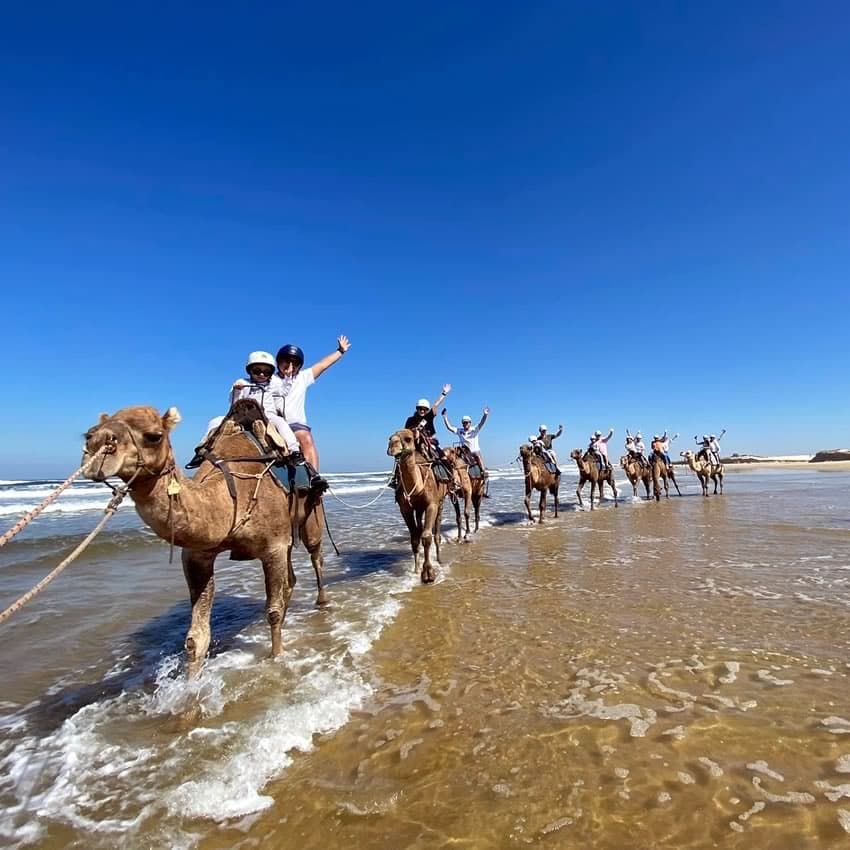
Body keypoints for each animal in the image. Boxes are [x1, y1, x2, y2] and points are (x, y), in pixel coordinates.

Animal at [82, 402, 326, 677]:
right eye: (90, 432)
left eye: (154, 436)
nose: (97, 443)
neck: (231, 493)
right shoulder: (197, 555)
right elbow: (194, 639)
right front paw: (191, 681)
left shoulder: (272, 547)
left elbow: (272, 612)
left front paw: (276, 657)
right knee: (290, 578)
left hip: (311, 515)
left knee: (315, 555)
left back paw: (322, 600)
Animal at [386, 428, 449, 583]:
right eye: (390, 438)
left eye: (408, 438)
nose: (392, 446)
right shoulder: (405, 509)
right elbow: (414, 538)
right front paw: (416, 570)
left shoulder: (431, 504)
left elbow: (426, 536)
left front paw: (428, 574)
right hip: (419, 509)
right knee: (419, 528)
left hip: (441, 502)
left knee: (437, 531)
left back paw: (439, 560)